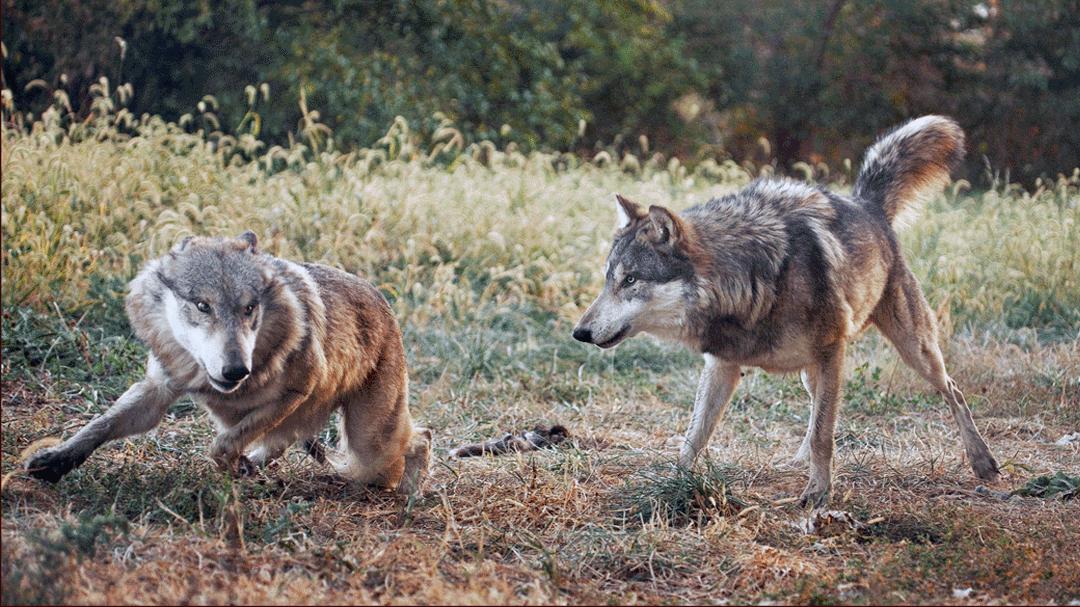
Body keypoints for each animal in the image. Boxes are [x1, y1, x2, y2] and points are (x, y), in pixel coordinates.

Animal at [26, 230, 429, 492]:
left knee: (420, 439)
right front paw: (55, 460)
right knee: (281, 444)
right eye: (203, 305)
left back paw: (409, 490)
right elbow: (99, 426)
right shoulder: (157, 391)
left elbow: (222, 445)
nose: (237, 369)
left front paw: (237, 468)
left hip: (369, 441)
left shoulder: (296, 392)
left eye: (249, 308)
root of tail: (383, 299)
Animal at [578, 115, 997, 503]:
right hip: (814, 372)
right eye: (609, 278)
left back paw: (983, 461)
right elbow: (693, 437)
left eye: (630, 279)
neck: (748, 280)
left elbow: (824, 435)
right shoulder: (722, 366)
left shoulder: (830, 352)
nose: (579, 332)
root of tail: (867, 204)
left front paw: (819, 493)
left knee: (953, 390)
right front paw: (674, 486)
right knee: (817, 411)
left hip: (912, 350)